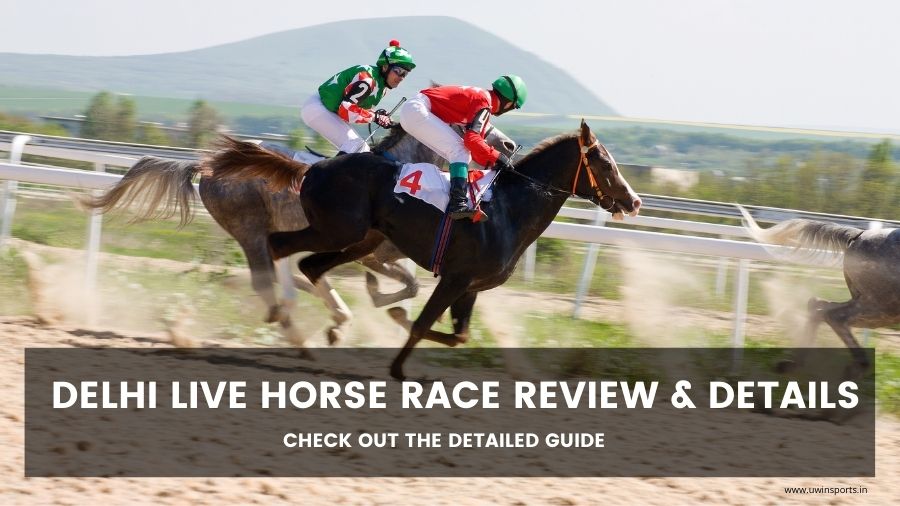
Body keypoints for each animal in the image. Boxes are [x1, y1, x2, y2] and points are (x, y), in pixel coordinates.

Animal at [80, 125, 516, 347]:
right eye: (478, 127)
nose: (510, 145)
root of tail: (207, 167)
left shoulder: (385, 253)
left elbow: (408, 284)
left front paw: (369, 305)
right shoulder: (369, 251)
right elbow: (402, 285)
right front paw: (368, 304)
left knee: (277, 272)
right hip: (249, 226)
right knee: (265, 275)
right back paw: (292, 323)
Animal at [203, 120, 642, 379]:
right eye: (604, 163)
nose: (634, 201)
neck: (508, 211)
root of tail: (314, 168)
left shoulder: (470, 287)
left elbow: (458, 335)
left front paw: (397, 318)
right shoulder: (454, 278)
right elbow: (421, 323)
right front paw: (398, 365)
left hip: (355, 239)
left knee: (309, 265)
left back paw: (321, 325)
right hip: (336, 230)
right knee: (278, 248)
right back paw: (285, 315)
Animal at [740, 206, 895, 371]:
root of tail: (858, 236)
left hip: (867, 301)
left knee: (818, 305)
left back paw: (794, 363)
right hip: (883, 307)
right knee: (833, 316)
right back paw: (857, 366)